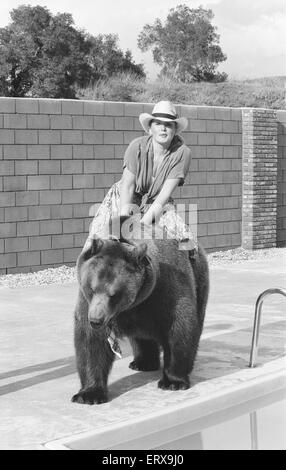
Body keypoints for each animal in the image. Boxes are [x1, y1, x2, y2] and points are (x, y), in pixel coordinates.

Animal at [72, 217, 208, 404]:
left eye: (114, 294)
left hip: (199, 277)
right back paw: (143, 362)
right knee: (141, 338)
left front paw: (173, 381)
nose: (96, 320)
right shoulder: (88, 304)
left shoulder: (166, 289)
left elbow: (179, 327)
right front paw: (89, 394)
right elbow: (91, 342)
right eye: (92, 288)